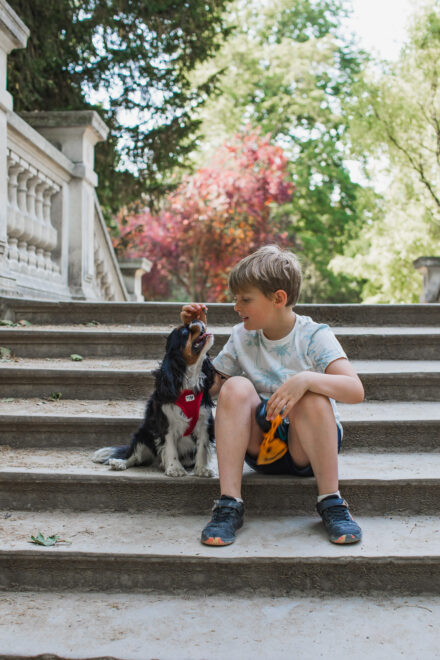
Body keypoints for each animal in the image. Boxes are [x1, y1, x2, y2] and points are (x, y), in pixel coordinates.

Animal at [93, 318, 217, 476]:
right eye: (184, 331)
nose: (198, 320)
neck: (187, 382)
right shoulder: (166, 424)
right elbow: (170, 446)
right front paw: (175, 468)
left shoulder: (204, 423)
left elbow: (203, 447)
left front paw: (202, 469)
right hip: (143, 434)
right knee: (134, 456)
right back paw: (119, 463)